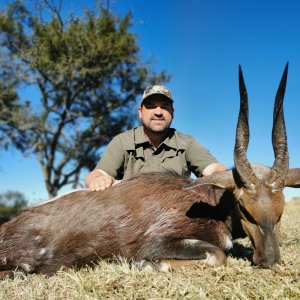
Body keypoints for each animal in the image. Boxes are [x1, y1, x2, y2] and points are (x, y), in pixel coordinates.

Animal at [0, 63, 300, 278]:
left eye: (280, 210)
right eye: (244, 207)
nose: (269, 261)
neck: (211, 205)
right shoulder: (156, 242)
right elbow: (218, 255)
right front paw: (145, 265)